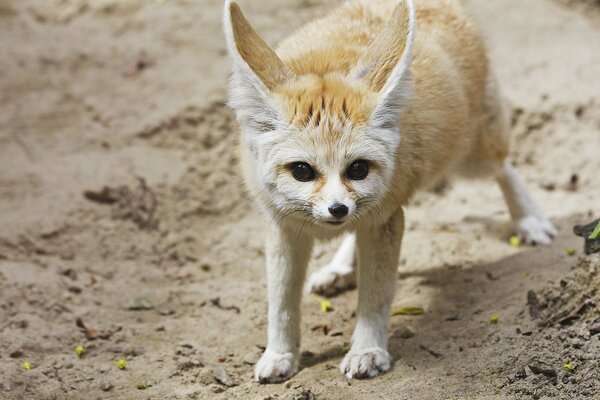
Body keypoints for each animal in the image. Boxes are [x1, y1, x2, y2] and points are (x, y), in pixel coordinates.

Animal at [223, 0, 556, 382]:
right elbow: (280, 304)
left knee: (505, 165)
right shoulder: (285, 228)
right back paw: (340, 268)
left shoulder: (385, 219)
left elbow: (375, 296)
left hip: (473, 157)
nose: (337, 210)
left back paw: (528, 219)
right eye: (302, 171)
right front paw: (279, 354)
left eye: (358, 169)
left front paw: (367, 351)